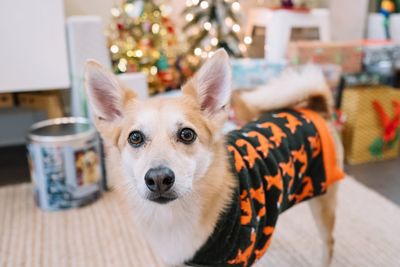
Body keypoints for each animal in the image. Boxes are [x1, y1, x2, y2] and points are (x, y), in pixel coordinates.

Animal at [83, 49, 344, 266]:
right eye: (135, 137)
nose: (158, 179)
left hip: (323, 201)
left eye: (187, 134)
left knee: (329, 243)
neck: (174, 217)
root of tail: (314, 109)